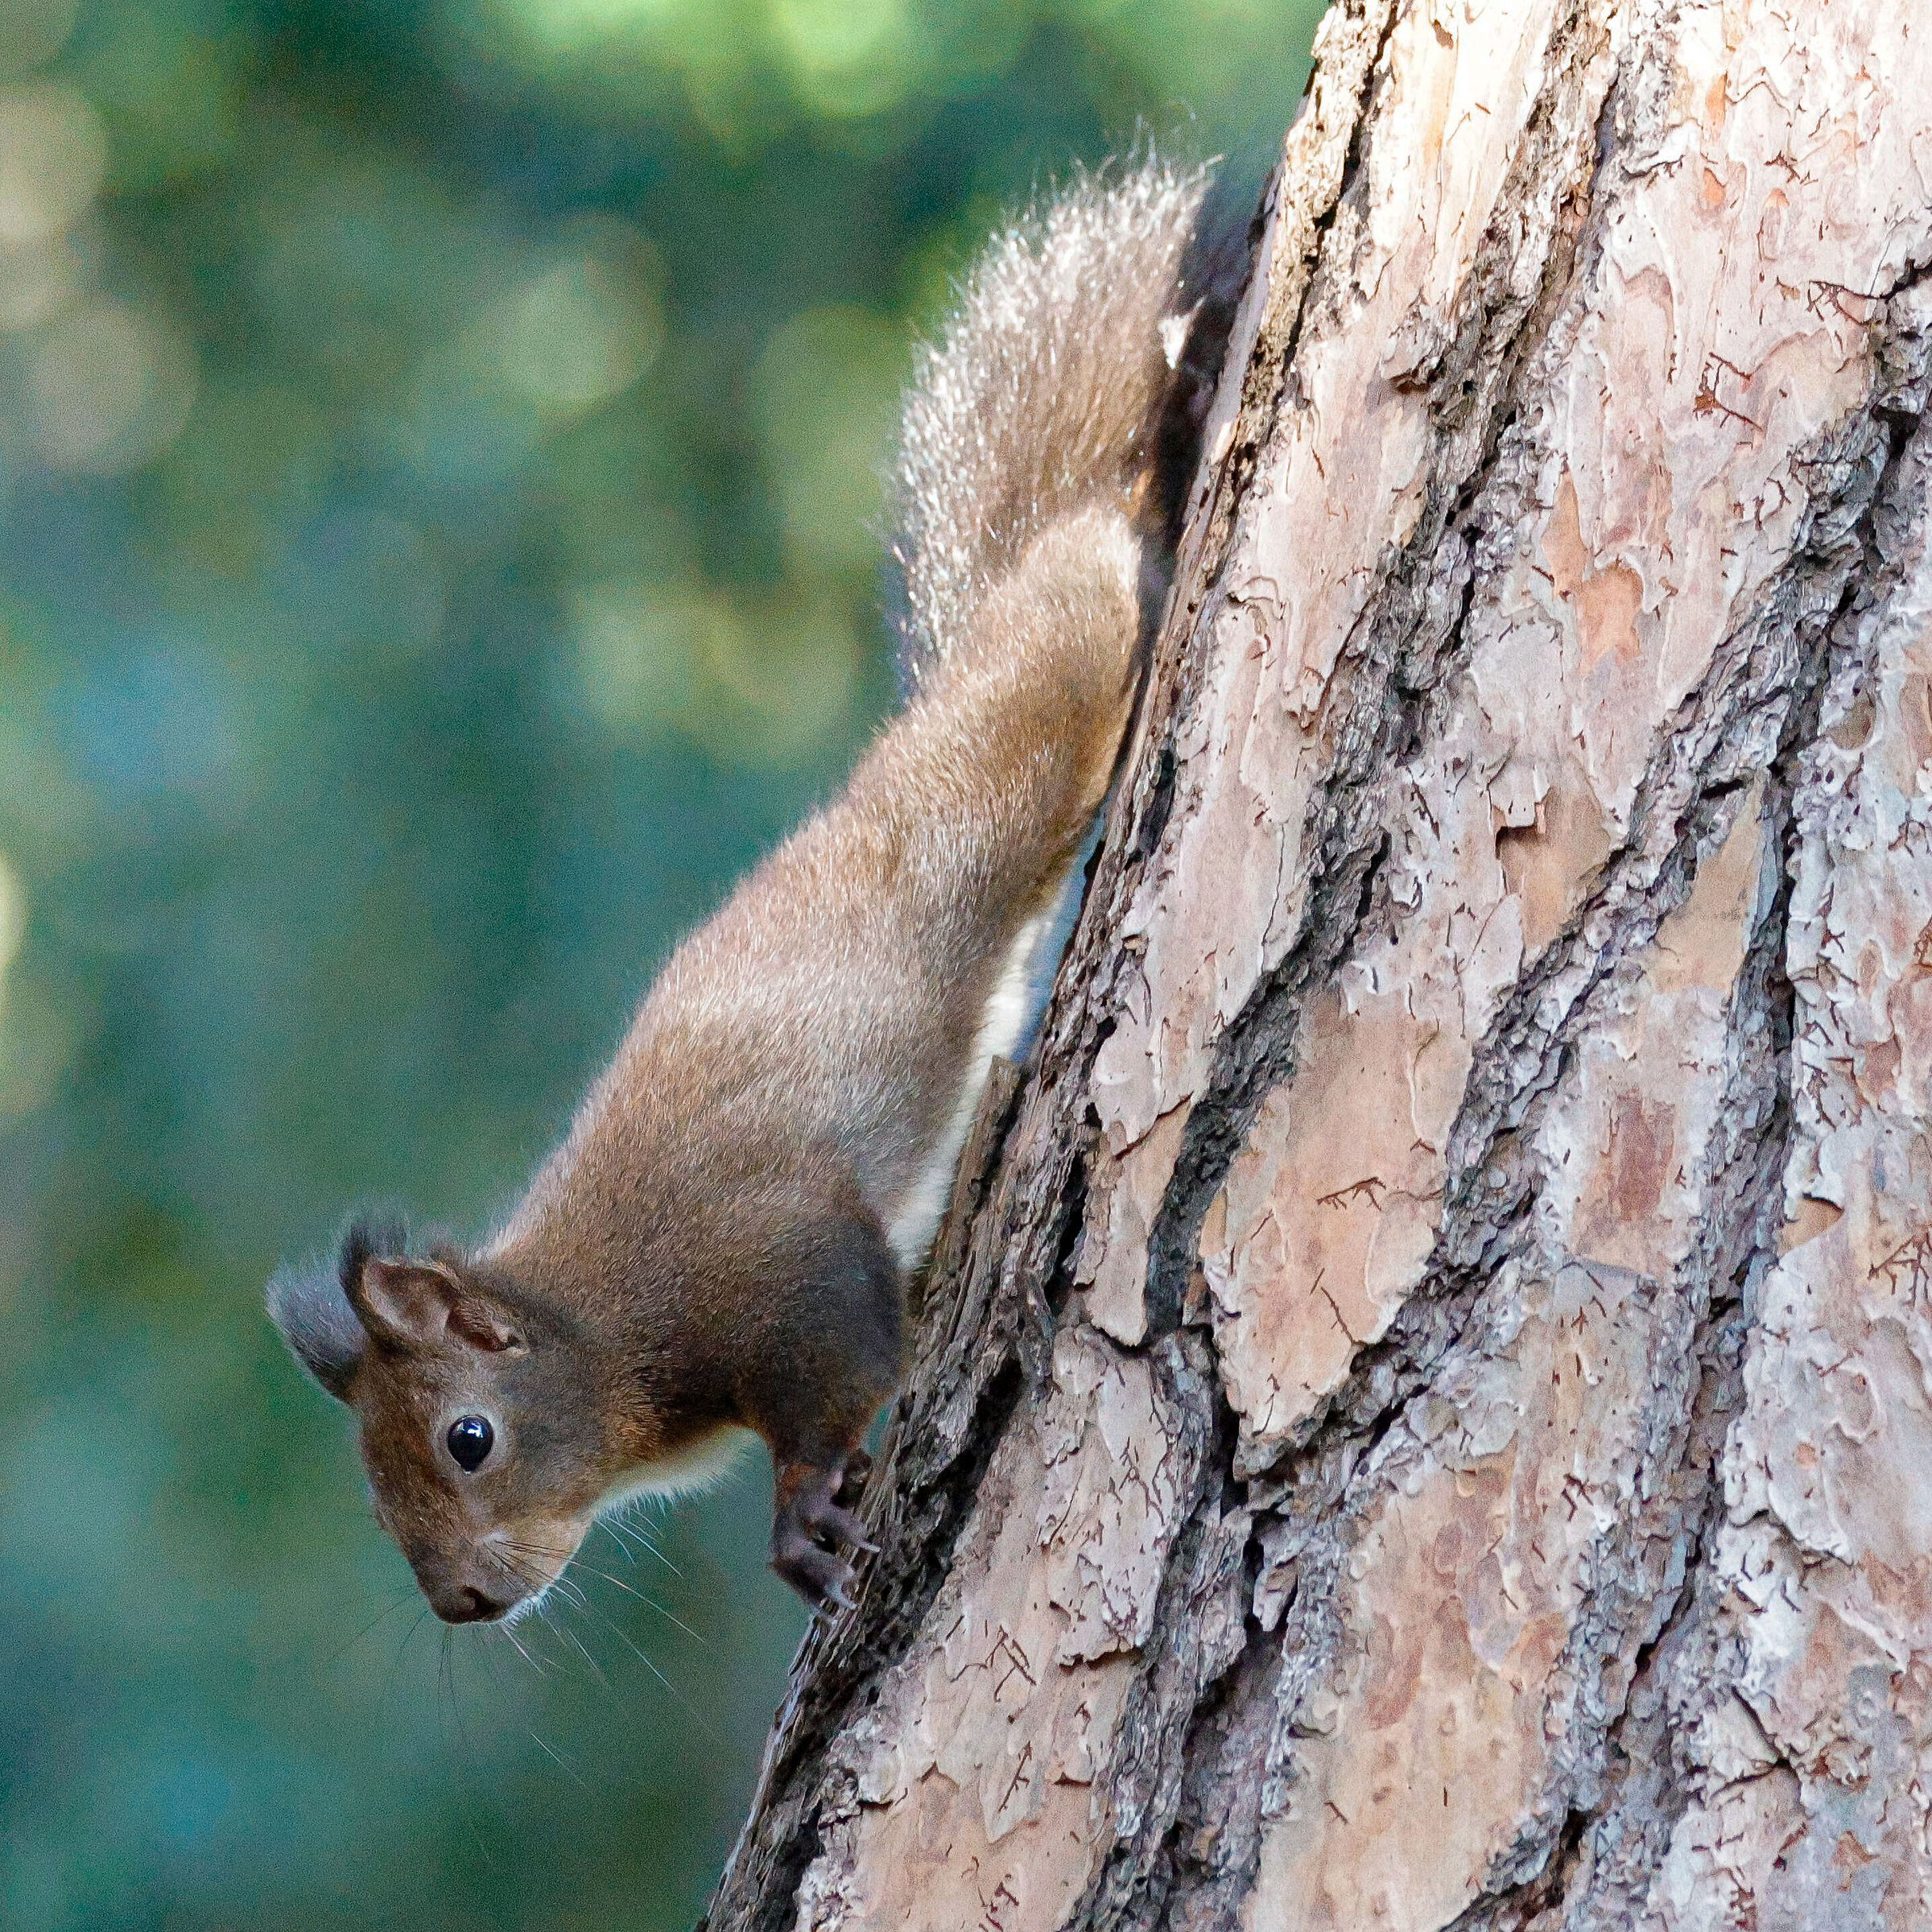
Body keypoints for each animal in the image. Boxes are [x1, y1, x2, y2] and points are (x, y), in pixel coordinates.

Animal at [268, 157, 1248, 1621]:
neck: (610, 1331)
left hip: (1062, 679)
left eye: (469, 1439)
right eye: (375, 1508)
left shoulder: (772, 1267)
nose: (460, 1606)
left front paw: (798, 1516)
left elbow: (844, 1362)